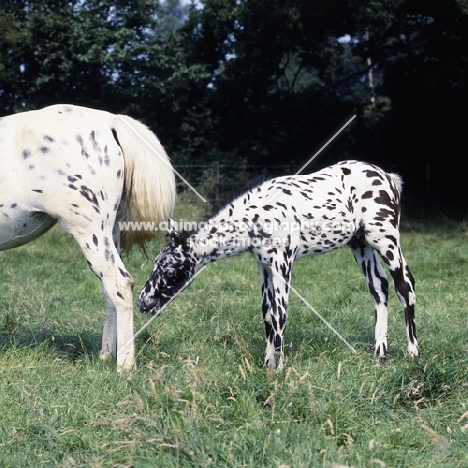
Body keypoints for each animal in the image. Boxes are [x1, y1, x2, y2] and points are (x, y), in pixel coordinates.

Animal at [0, 104, 176, 372]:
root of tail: (111, 122)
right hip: (108, 233)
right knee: (110, 291)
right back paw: (106, 355)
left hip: (89, 231)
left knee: (120, 285)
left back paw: (125, 366)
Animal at [137, 160, 418, 370]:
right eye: (155, 263)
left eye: (170, 270)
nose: (143, 302)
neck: (256, 216)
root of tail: (390, 178)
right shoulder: (264, 266)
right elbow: (267, 312)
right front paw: (268, 363)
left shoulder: (283, 262)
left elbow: (280, 313)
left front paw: (279, 367)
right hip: (361, 244)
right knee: (379, 288)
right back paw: (380, 352)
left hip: (386, 240)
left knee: (405, 286)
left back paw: (413, 352)